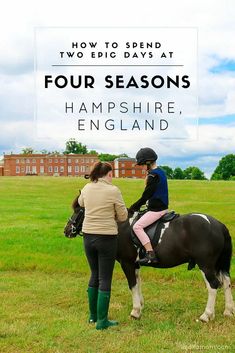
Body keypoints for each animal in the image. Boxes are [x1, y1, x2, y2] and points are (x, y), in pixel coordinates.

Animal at [67, 199, 234, 320]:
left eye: (77, 211)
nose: (67, 230)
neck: (121, 226)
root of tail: (218, 225)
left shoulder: (127, 263)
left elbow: (132, 284)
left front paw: (135, 311)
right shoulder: (135, 264)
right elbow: (138, 283)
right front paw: (140, 305)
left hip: (206, 265)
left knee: (213, 285)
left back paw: (206, 315)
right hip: (217, 266)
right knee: (226, 282)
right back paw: (228, 311)